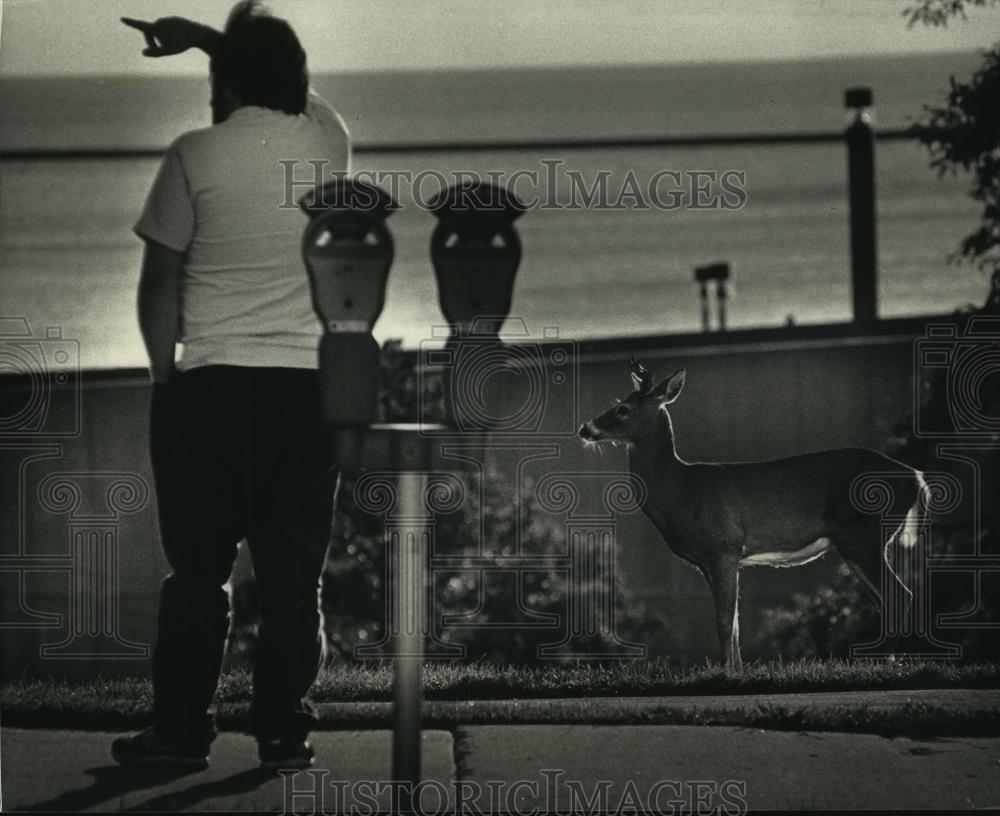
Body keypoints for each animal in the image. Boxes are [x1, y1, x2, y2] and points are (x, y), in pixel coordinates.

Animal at [580, 356, 928, 668]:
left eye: (622, 410)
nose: (585, 427)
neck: (682, 490)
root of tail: (916, 477)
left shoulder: (724, 548)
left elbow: (723, 621)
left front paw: (729, 674)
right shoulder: (711, 561)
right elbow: (733, 623)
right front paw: (738, 670)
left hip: (864, 534)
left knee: (900, 595)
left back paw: (884, 661)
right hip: (858, 543)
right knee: (886, 599)